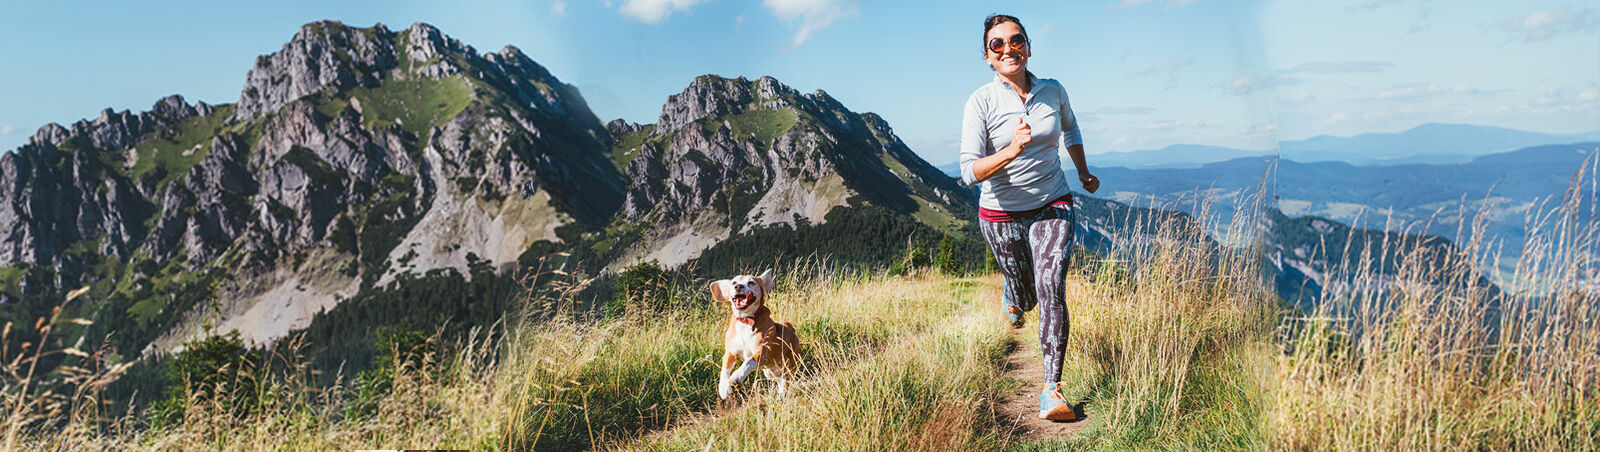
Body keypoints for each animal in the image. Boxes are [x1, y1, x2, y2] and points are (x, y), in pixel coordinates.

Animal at [713, 267, 800, 399]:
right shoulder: (730, 353)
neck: (746, 320)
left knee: (785, 380)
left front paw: (737, 376)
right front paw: (724, 388)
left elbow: (748, 361)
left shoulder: (762, 352)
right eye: (733, 282)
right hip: (770, 370)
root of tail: (788, 326)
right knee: (779, 380)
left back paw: (782, 395)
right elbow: (725, 369)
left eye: (751, 282)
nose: (738, 286)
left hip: (788, 365)